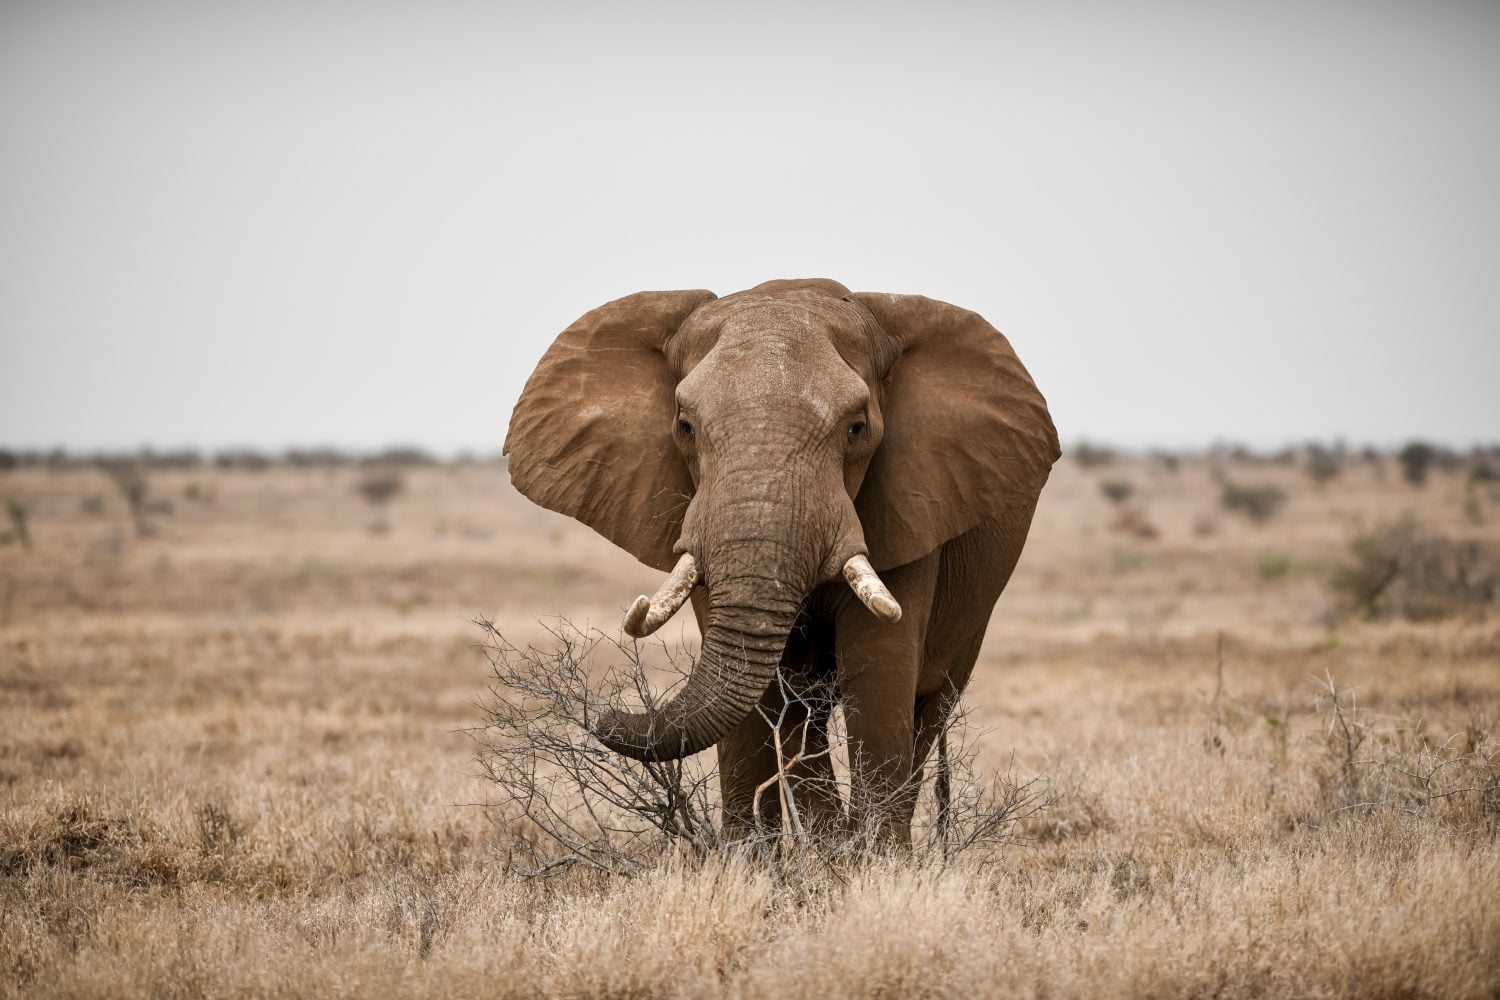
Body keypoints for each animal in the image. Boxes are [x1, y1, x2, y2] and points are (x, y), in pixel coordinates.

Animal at [505, 277, 1059, 845]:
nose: (600, 713)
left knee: (930, 706)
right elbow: (770, 693)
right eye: (684, 426)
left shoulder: (911, 504)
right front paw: (762, 861)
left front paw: (870, 862)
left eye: (858, 427)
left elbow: (878, 667)